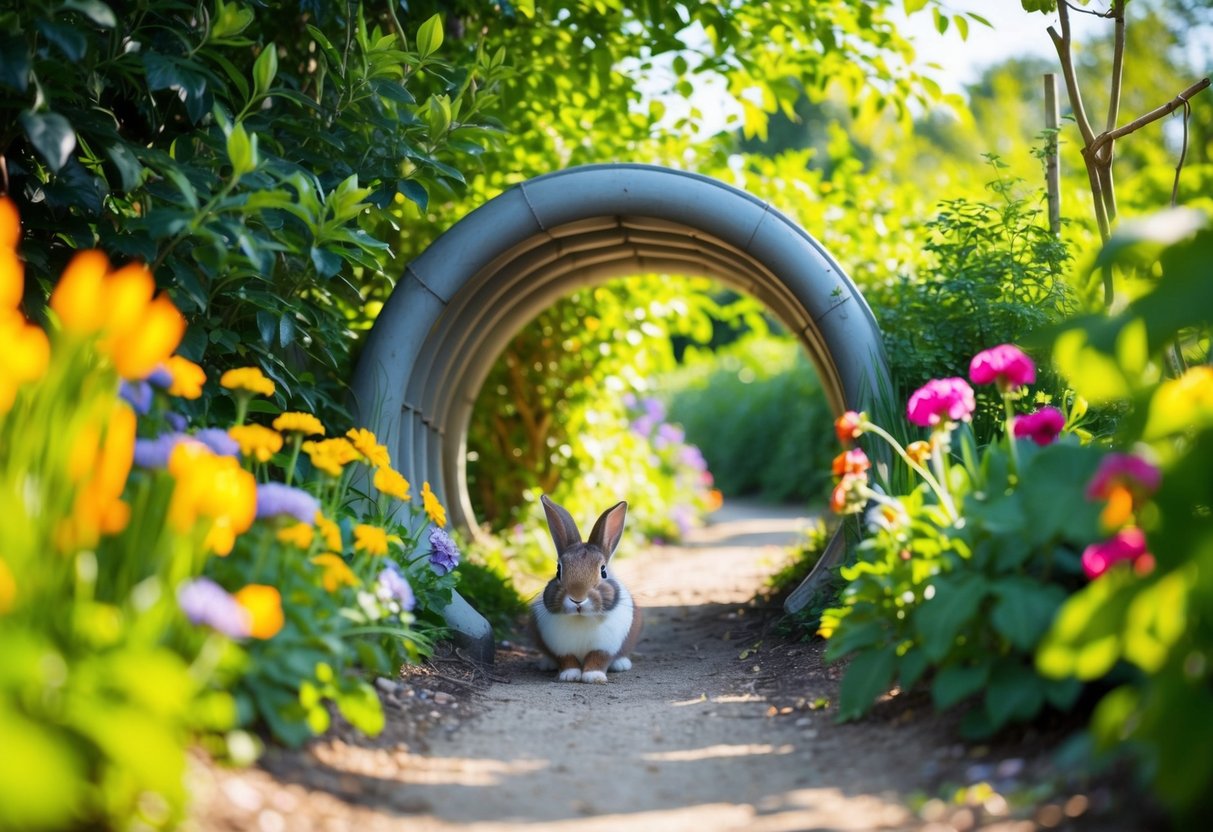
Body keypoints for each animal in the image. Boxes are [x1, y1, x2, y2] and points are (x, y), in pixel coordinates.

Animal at [531, 494, 645, 684]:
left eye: (603, 571)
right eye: (558, 570)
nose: (577, 598)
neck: (581, 618)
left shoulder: (604, 647)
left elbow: (597, 659)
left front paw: (593, 677)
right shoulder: (561, 648)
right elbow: (568, 660)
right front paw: (569, 675)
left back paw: (621, 664)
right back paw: (546, 664)